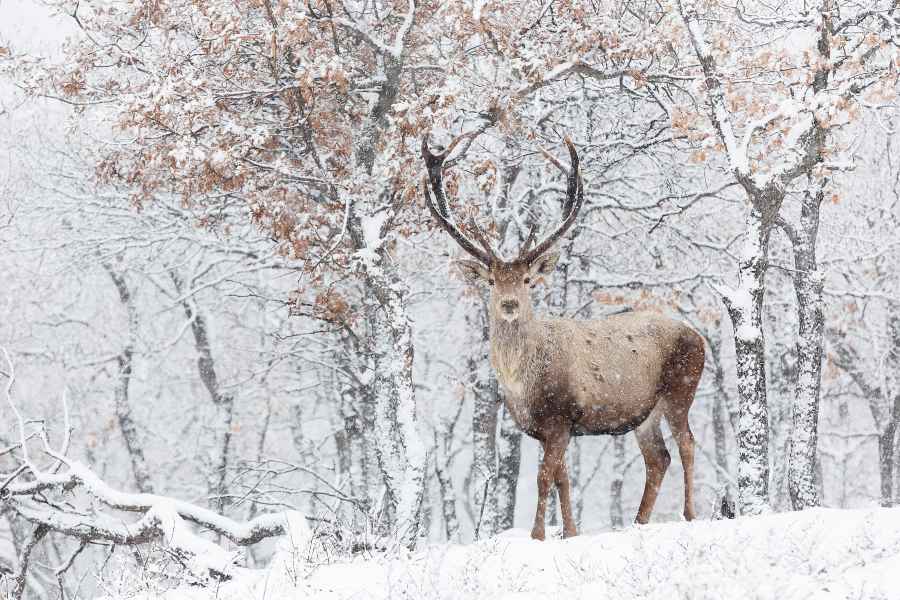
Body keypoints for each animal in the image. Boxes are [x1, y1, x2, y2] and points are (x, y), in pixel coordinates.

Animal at [421, 133, 706, 541]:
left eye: (526, 279)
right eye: (491, 281)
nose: (509, 303)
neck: (522, 385)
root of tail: (699, 337)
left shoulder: (559, 417)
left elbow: (544, 479)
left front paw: (538, 536)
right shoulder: (553, 429)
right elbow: (563, 480)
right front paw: (571, 532)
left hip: (681, 388)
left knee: (687, 444)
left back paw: (689, 514)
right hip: (644, 412)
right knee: (658, 458)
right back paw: (637, 522)